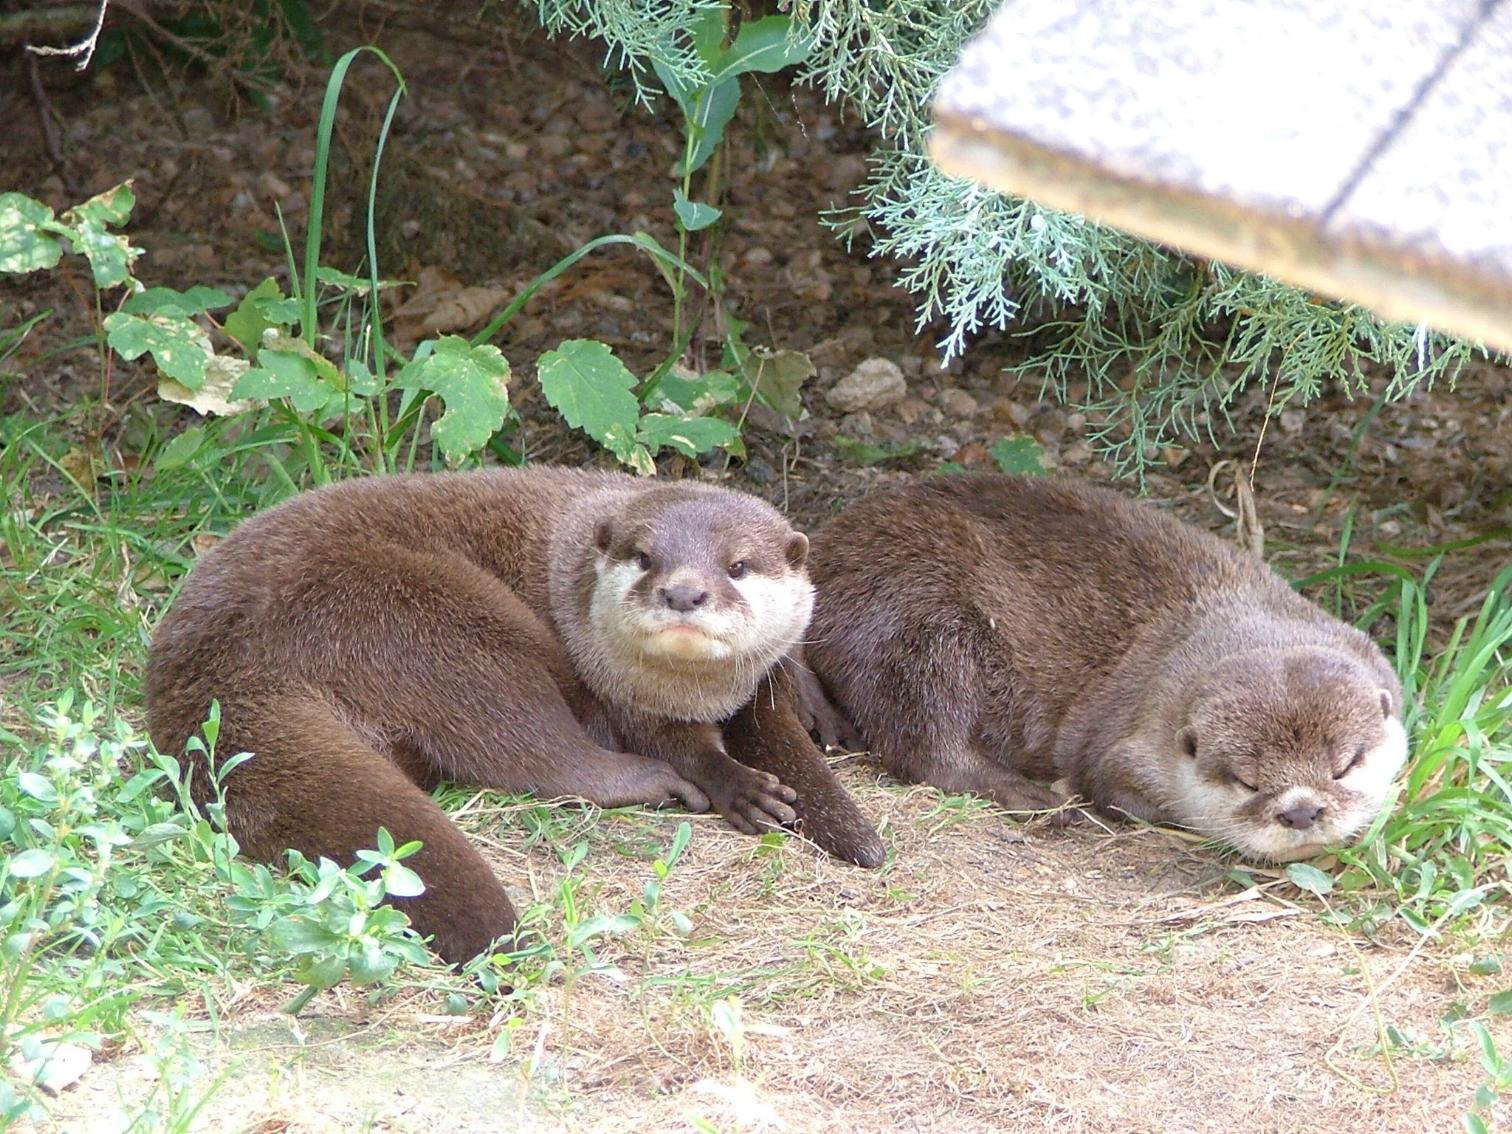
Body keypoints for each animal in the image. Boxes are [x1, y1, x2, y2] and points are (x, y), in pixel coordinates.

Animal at [147, 465, 883, 961]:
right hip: (436, 624)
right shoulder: (623, 697)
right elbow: (679, 743)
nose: (683, 592)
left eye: (737, 566)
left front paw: (820, 711)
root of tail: (214, 666)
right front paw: (742, 787)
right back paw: (653, 783)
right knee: (534, 744)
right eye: (646, 558)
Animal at [810, 474, 1409, 864]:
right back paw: (1032, 797)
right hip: (918, 614)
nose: (1301, 812)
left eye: (1344, 766)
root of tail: (822, 552)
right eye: (1248, 782)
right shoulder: (1124, 747)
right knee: (922, 734)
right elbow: (1111, 786)